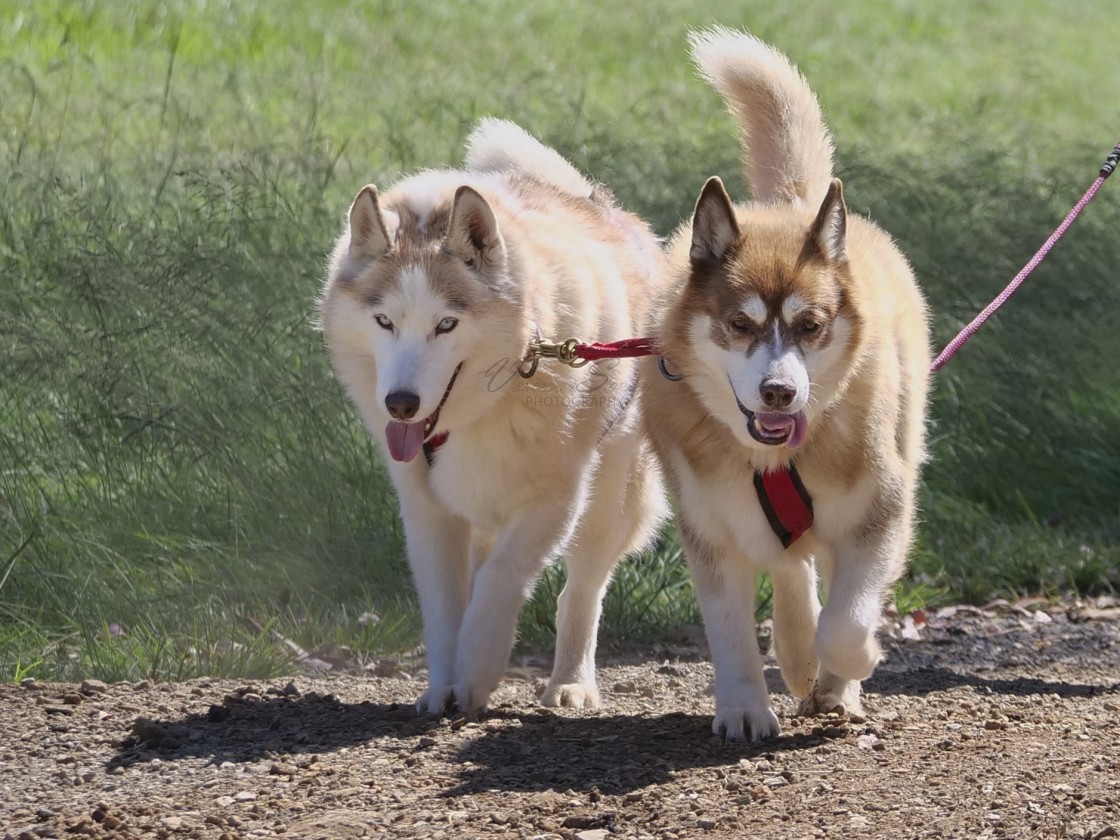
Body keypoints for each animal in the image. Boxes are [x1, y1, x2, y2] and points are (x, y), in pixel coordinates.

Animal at [318, 119, 663, 716]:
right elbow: (445, 608)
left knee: (581, 590)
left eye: (446, 325)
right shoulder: (428, 512)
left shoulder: (555, 500)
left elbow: (500, 583)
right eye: (384, 321)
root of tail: (596, 202)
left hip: (611, 498)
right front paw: (443, 686)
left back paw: (570, 683)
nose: (400, 404)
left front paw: (477, 671)